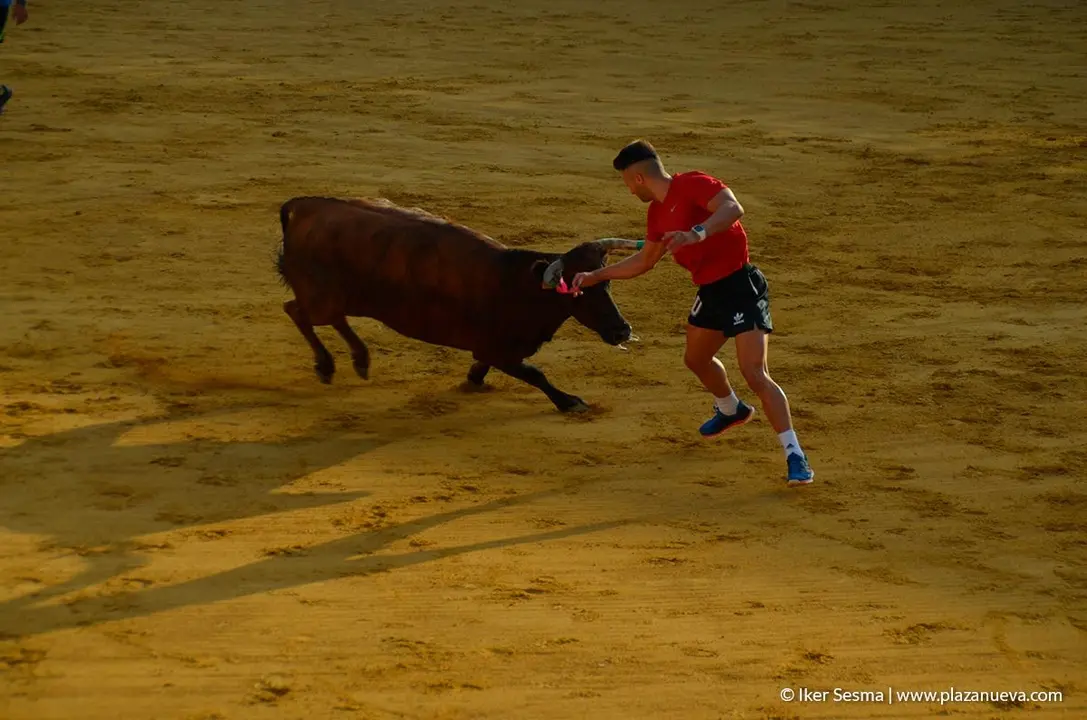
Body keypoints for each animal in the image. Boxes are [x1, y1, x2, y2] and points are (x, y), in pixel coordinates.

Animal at [274, 196, 641, 412]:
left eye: (607, 282)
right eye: (578, 292)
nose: (622, 331)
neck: (520, 286)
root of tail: (305, 206)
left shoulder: (495, 350)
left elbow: (487, 366)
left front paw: (472, 381)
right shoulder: (501, 350)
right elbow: (535, 373)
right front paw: (569, 402)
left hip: (340, 297)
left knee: (330, 316)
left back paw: (360, 360)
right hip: (321, 296)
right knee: (298, 311)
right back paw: (327, 365)